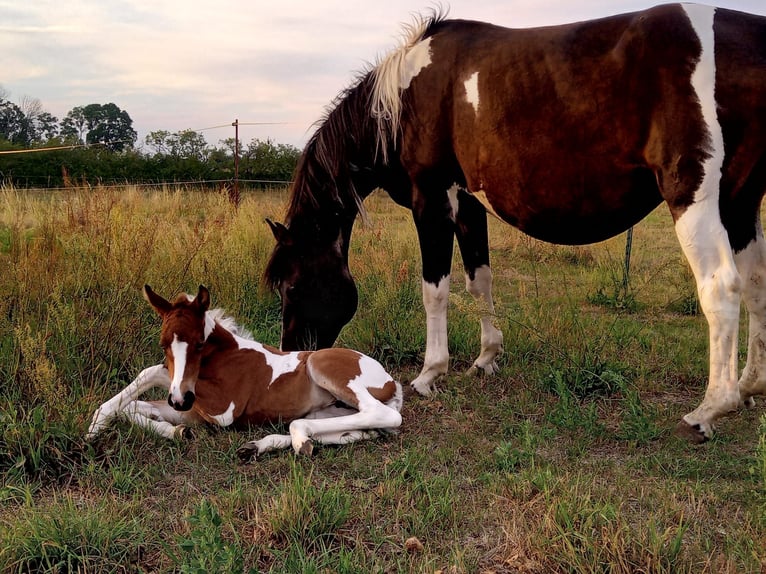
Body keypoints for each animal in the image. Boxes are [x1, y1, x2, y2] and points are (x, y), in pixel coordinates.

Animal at [86, 285, 403, 459]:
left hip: (322, 365)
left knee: (383, 415)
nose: (179, 400)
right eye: (163, 343)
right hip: (328, 411)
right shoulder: (194, 413)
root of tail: (392, 382)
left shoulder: (223, 412)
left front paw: (95, 425)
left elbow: (153, 372)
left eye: (199, 343)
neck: (226, 356)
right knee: (359, 429)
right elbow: (137, 403)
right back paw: (261, 446)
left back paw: (295, 440)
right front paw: (171, 430)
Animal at [263, 4, 766, 444]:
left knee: (722, 288)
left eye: (291, 286)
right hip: (740, 205)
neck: (403, 98)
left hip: (695, 196)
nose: (290, 355)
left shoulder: (433, 200)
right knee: (756, 283)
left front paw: (431, 373)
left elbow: (435, 289)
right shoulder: (468, 205)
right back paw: (747, 388)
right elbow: (479, 280)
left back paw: (707, 411)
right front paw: (487, 357)